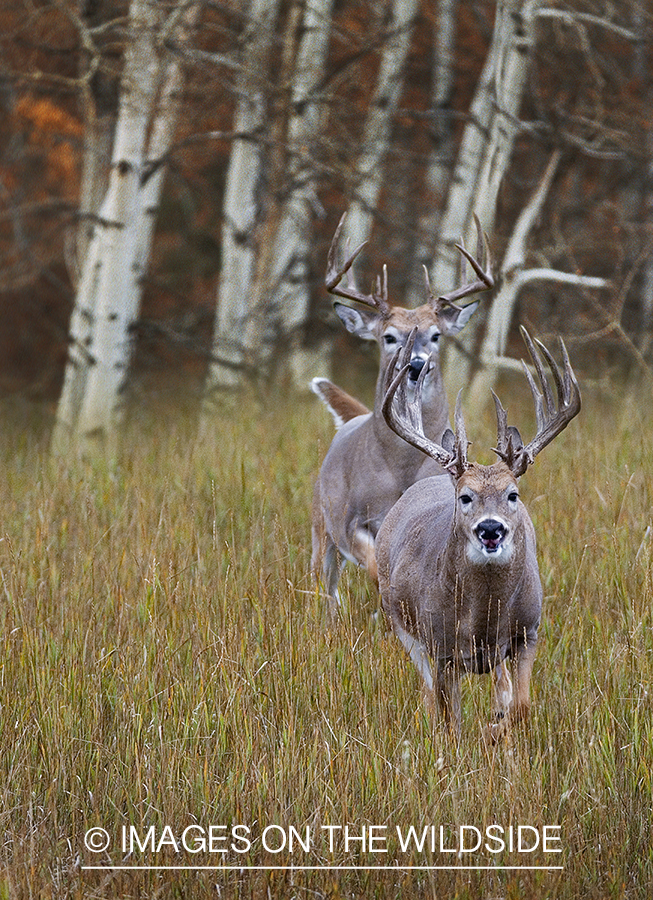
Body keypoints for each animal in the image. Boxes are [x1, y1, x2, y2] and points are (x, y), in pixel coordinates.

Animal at [314, 214, 492, 600]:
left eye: (436, 334)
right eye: (389, 336)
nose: (416, 365)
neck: (401, 470)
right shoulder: (353, 520)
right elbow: (374, 566)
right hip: (321, 523)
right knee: (325, 585)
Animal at [376, 326, 580, 736]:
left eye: (513, 494)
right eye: (465, 497)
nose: (490, 528)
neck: (483, 621)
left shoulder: (528, 632)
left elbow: (521, 706)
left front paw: (496, 730)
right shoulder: (440, 647)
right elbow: (449, 719)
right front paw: (464, 742)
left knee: (500, 685)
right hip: (402, 624)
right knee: (427, 694)